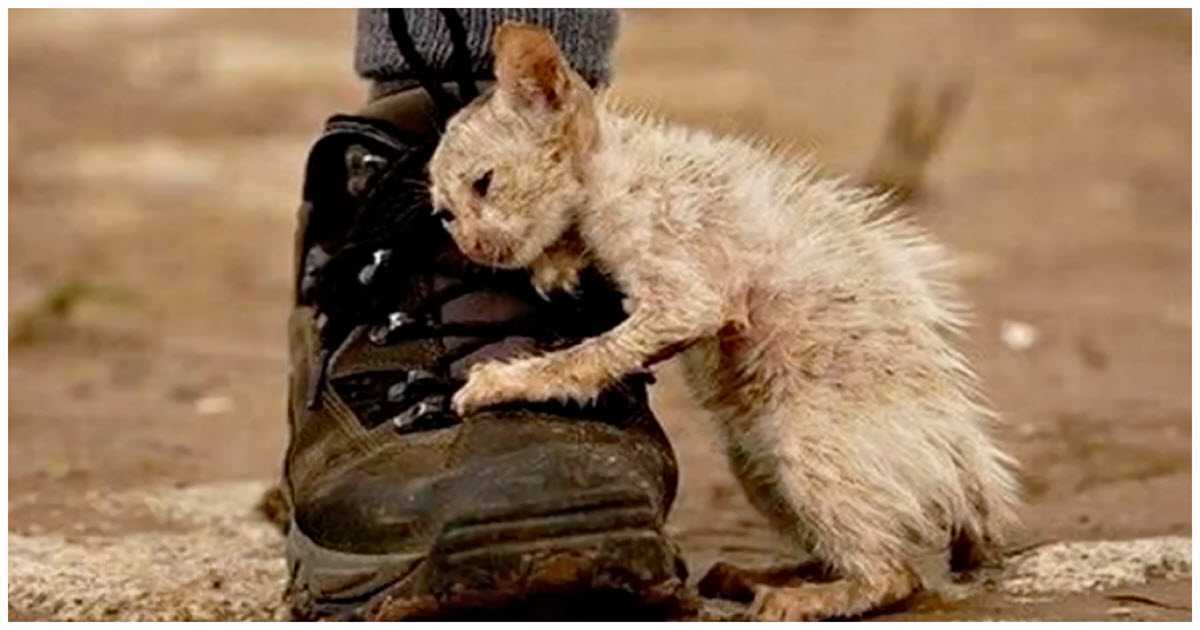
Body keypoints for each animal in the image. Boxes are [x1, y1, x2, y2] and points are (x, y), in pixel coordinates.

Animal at [427, 20, 1017, 619]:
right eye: (444, 215)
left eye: (484, 183)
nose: (473, 247)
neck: (614, 166)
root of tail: (968, 467)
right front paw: (557, 264)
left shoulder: (688, 293)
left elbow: (588, 356)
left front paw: (501, 381)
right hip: (755, 464)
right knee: (851, 552)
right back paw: (755, 577)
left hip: (806, 445)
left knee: (893, 575)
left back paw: (799, 599)